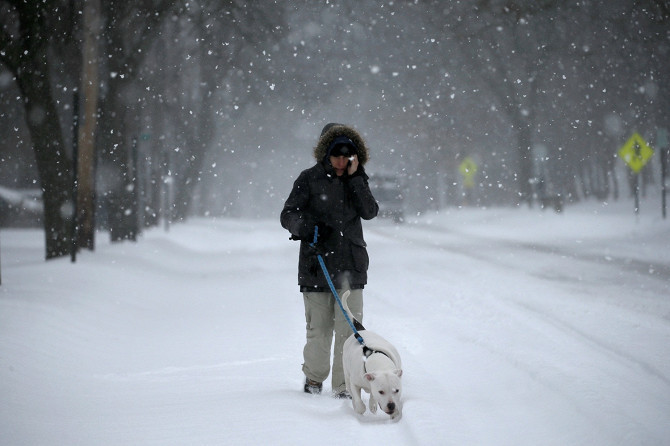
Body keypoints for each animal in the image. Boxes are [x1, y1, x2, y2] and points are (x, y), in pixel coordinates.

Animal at [342, 290, 404, 420]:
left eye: (396, 390)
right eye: (381, 391)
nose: (391, 405)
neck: (381, 364)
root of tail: (360, 331)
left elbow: (372, 394)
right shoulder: (355, 383)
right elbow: (358, 401)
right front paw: (359, 409)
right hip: (346, 373)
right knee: (351, 391)